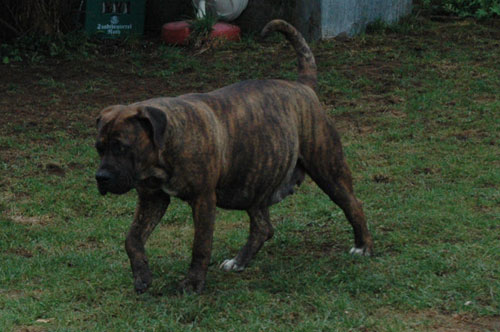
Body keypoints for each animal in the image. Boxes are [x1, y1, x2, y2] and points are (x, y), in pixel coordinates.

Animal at [95, 18, 374, 294]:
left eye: (122, 147)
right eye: (99, 148)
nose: (101, 177)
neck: (166, 144)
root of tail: (303, 86)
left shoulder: (203, 200)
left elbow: (200, 245)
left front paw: (193, 283)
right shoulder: (152, 198)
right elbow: (132, 239)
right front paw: (142, 274)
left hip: (328, 170)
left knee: (353, 204)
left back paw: (363, 246)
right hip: (253, 184)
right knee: (262, 227)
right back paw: (239, 261)